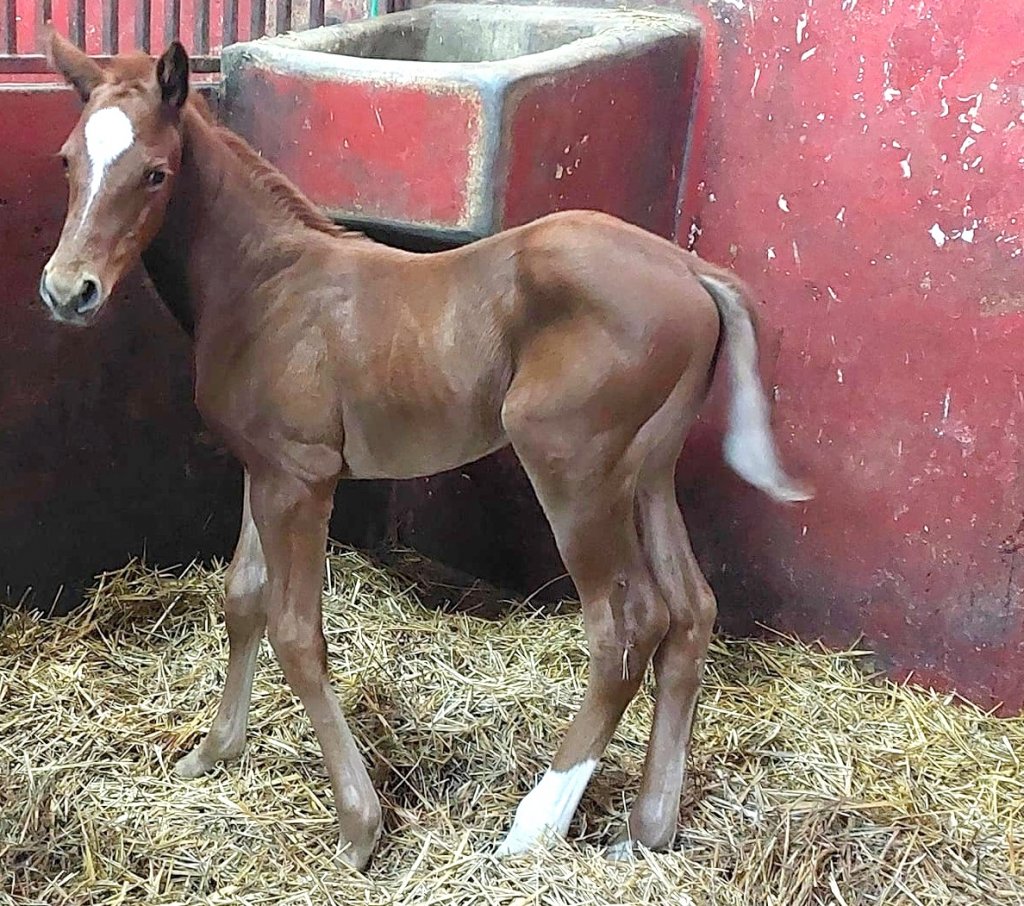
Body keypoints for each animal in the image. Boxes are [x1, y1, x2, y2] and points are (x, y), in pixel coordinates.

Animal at [40, 31, 810, 870]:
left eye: (155, 172)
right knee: (691, 611)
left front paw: (358, 827)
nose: (67, 292)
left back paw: (533, 827)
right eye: (68, 161)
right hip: (647, 474)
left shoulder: (302, 480)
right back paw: (648, 827)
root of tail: (690, 268)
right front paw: (212, 753)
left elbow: (295, 634)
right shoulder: (264, 467)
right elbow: (241, 600)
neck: (266, 286)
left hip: (572, 469)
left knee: (627, 626)